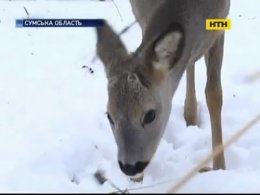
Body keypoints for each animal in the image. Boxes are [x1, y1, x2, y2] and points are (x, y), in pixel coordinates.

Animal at [95, 0, 230, 177]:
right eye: (109, 116)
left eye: (150, 115)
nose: (130, 166)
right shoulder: (141, 15)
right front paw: (138, 179)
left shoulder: (220, 23)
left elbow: (214, 94)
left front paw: (220, 168)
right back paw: (190, 115)